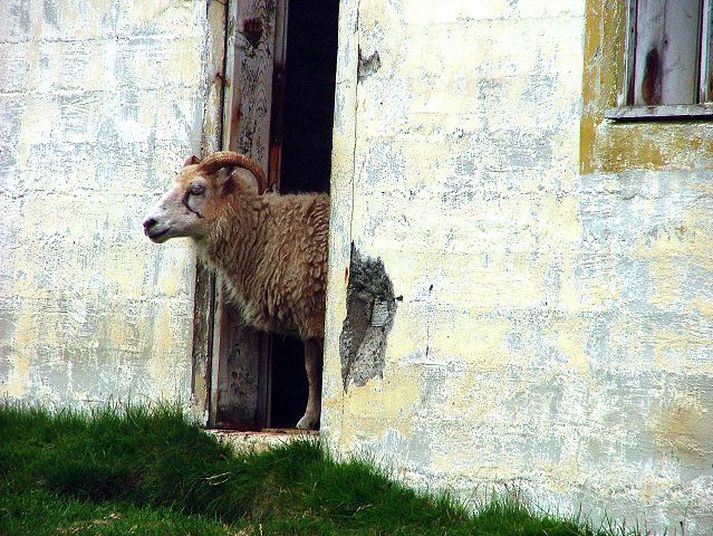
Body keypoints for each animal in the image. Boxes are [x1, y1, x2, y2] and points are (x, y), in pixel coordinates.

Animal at [143, 152, 330, 432]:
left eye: (197, 189)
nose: (149, 223)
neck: (269, 233)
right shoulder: (308, 318)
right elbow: (312, 370)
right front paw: (307, 420)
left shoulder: (318, 317)